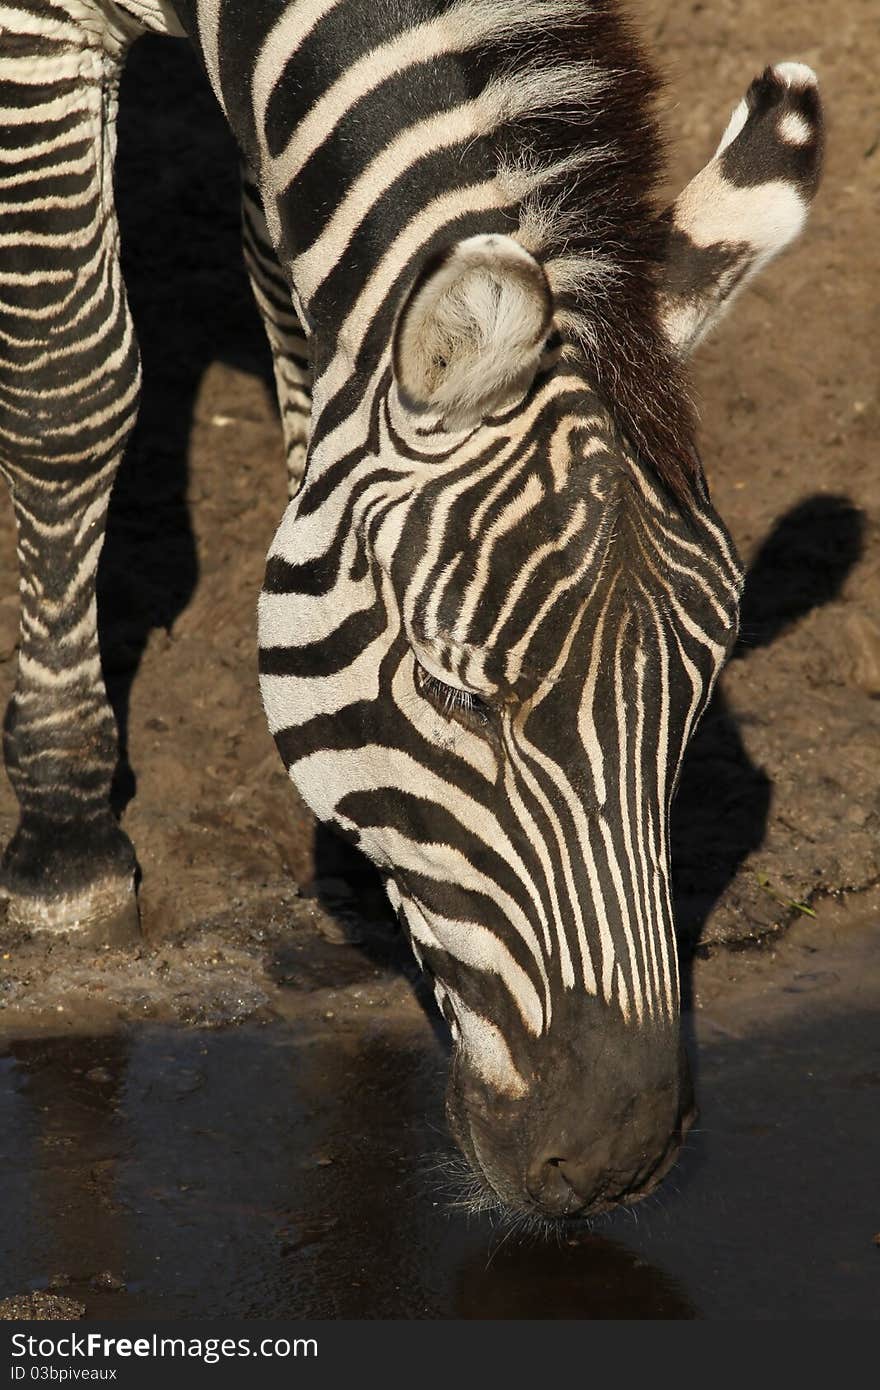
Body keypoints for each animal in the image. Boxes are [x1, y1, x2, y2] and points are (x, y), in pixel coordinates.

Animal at [1, 0, 823, 1217]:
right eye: (451, 691)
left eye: (692, 705)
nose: (614, 1159)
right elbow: (70, 386)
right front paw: (67, 840)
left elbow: (302, 332)